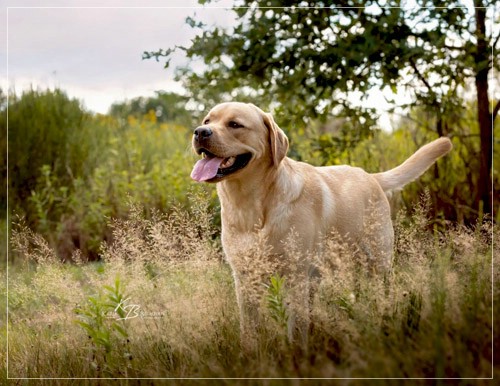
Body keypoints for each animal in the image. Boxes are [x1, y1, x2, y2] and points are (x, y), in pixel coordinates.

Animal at [189, 102, 452, 346]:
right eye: (207, 120)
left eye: (235, 124)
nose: (200, 132)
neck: (251, 208)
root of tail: (371, 176)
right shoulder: (244, 277)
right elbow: (249, 330)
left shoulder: (296, 276)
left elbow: (296, 330)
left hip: (378, 264)